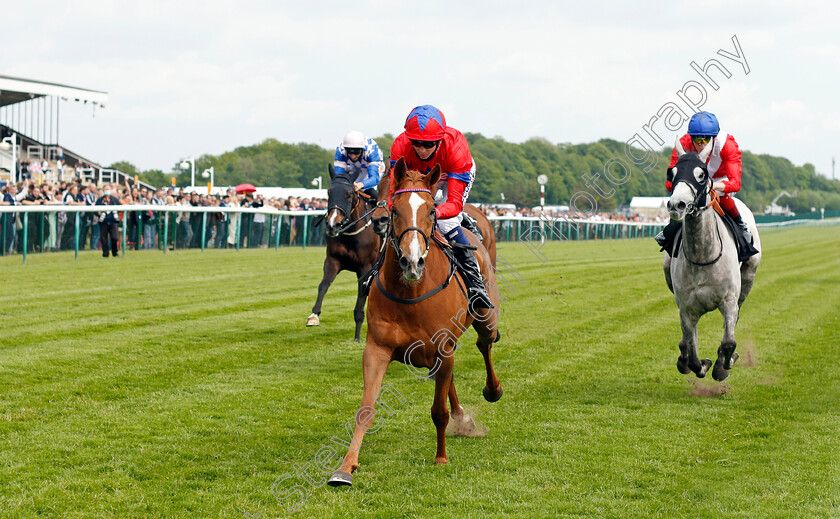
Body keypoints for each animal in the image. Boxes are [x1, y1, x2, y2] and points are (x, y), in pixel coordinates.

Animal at [308, 166, 384, 342]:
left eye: (349, 194)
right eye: (329, 192)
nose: (332, 225)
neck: (351, 234)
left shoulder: (365, 268)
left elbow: (360, 303)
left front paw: (357, 338)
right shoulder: (332, 261)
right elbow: (323, 285)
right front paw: (314, 316)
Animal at [326, 158, 498, 488]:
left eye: (431, 210)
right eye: (396, 210)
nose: (412, 261)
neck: (411, 290)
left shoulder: (443, 347)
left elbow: (438, 411)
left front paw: (441, 457)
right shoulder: (378, 349)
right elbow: (365, 409)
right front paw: (345, 468)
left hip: (485, 317)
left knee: (485, 343)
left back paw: (492, 390)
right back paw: (463, 418)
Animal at [664, 138, 760, 382]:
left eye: (701, 174)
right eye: (673, 173)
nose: (676, 204)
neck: (703, 254)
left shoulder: (728, 301)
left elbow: (728, 343)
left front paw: (723, 365)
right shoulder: (687, 308)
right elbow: (692, 355)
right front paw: (701, 364)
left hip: (749, 275)